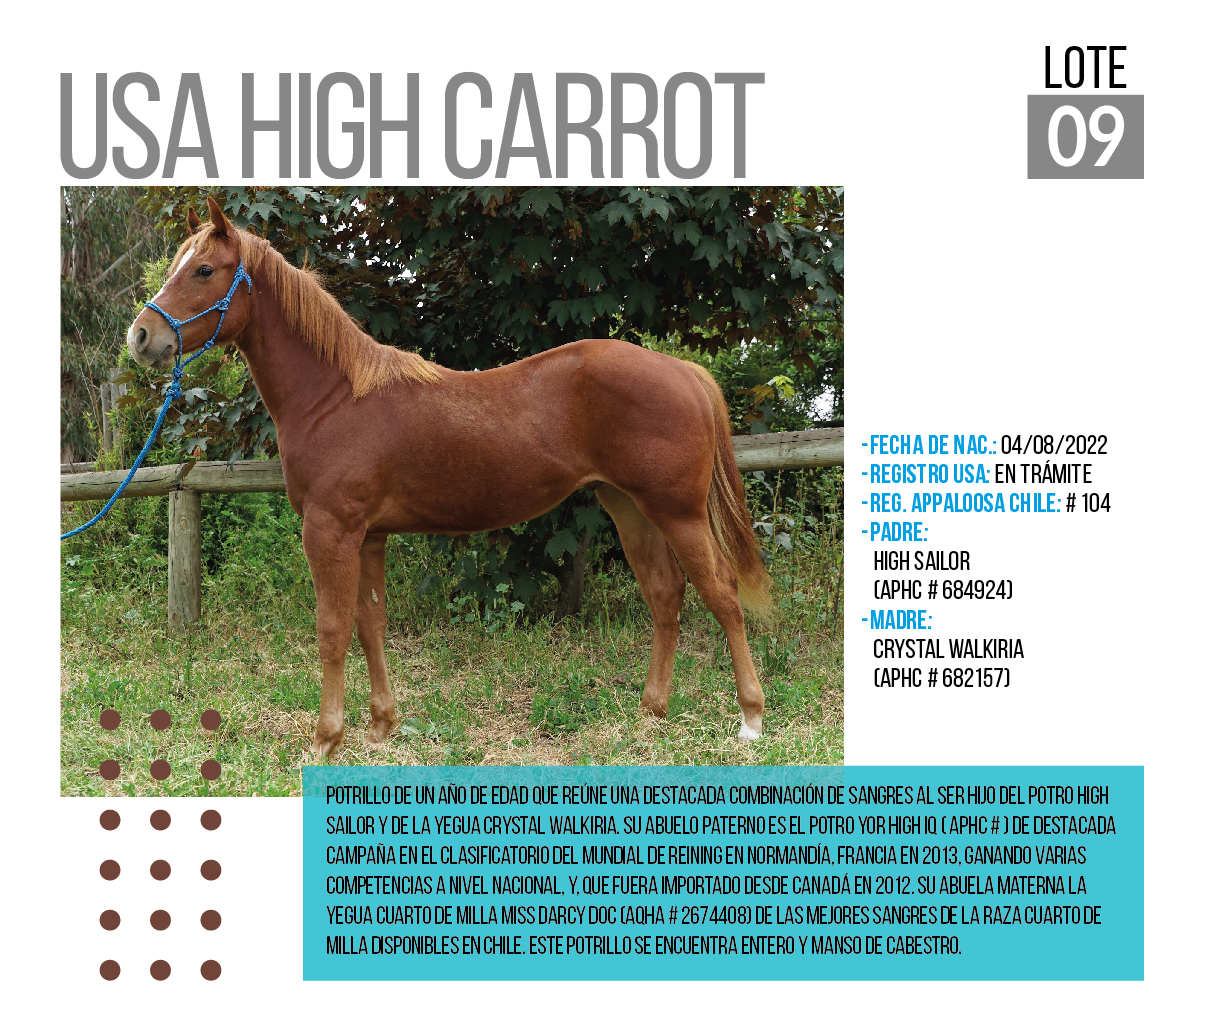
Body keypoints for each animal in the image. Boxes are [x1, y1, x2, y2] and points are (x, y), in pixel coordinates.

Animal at [126, 197, 773, 756]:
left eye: (204, 269)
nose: (141, 336)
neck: (334, 398)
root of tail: (685, 371)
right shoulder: (369, 536)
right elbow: (370, 624)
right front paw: (382, 727)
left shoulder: (330, 531)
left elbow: (332, 629)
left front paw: (326, 739)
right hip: (629, 507)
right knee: (666, 594)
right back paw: (650, 713)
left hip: (678, 512)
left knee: (722, 595)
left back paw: (749, 719)